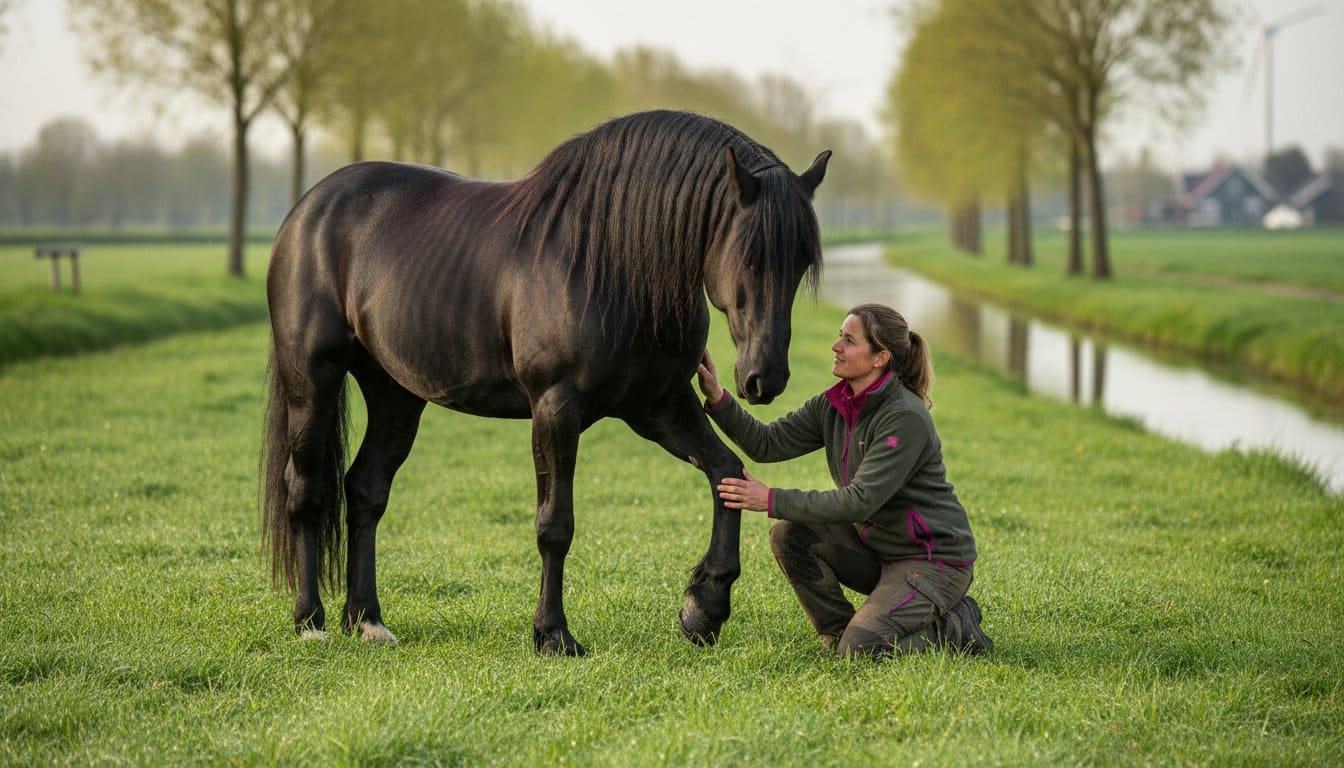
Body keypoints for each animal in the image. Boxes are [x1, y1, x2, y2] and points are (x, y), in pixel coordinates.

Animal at [261, 109, 830, 655]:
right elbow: (555, 524)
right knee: (306, 492)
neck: (613, 259)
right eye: (751, 256)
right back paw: (310, 621)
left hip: (394, 393)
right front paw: (553, 634)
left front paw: (703, 608)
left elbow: (726, 473)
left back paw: (368, 620)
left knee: (365, 489)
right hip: (311, 382)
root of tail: (308, 209)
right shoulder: (556, 408)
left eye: (802, 260)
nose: (764, 378)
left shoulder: (658, 404)